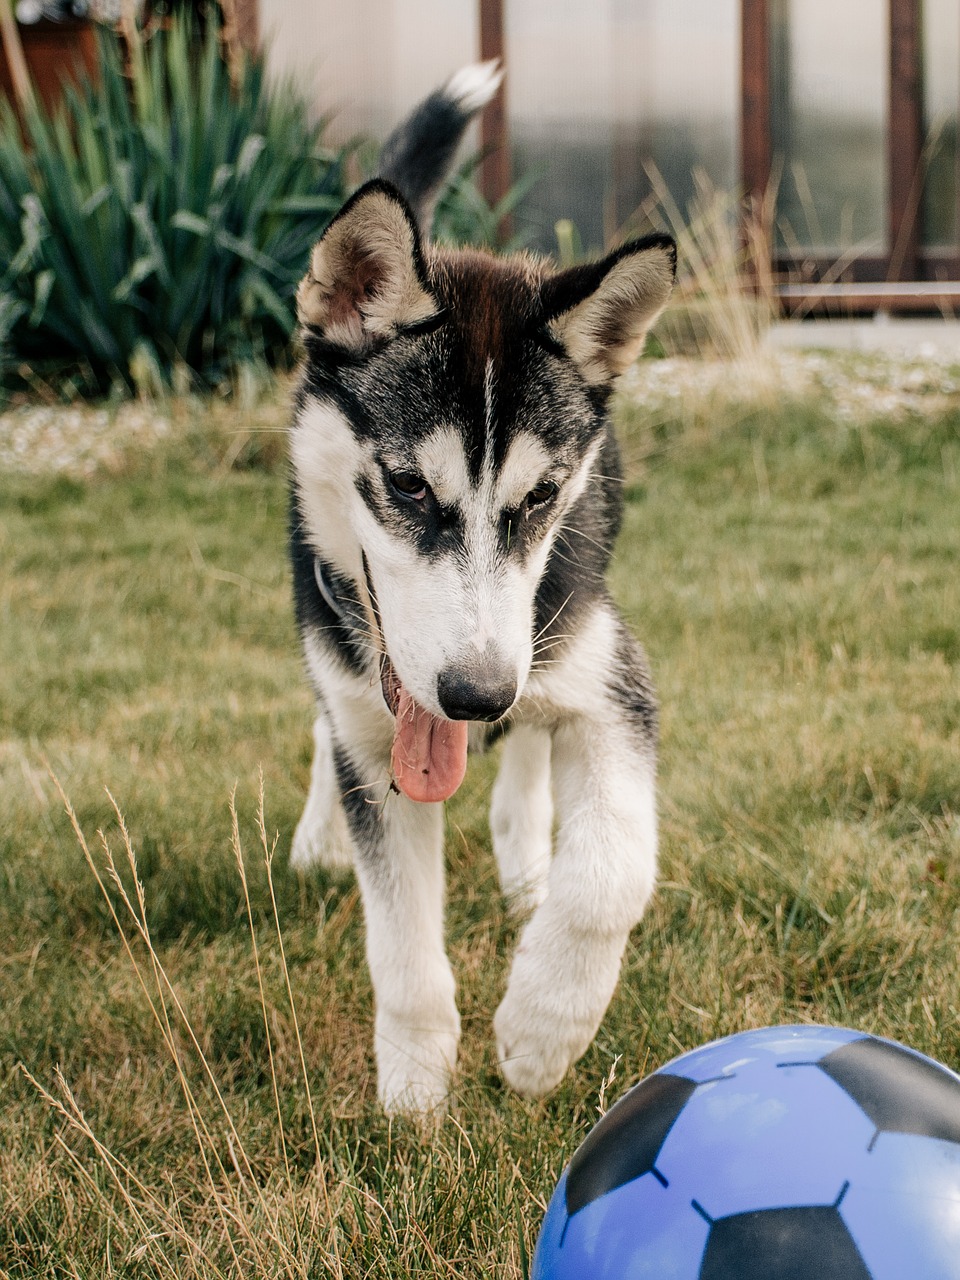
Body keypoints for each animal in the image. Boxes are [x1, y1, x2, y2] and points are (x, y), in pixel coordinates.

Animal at [285, 64, 675, 1116]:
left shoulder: (610, 676)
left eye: (539, 497)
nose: (474, 696)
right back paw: (318, 836)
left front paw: (543, 1032)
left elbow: (613, 873)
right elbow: (401, 943)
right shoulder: (374, 730)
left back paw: (525, 860)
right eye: (410, 486)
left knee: (535, 753)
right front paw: (416, 1089)